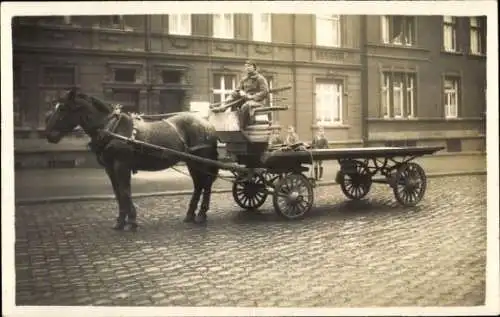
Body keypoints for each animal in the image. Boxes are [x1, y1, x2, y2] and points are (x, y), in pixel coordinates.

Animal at [44, 86, 220, 230]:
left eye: (63, 108)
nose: (48, 134)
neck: (111, 128)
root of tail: (207, 124)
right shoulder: (110, 168)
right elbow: (118, 193)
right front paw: (121, 221)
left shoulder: (122, 165)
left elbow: (125, 191)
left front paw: (131, 221)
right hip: (192, 162)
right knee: (198, 185)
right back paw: (190, 214)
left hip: (201, 160)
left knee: (206, 184)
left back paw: (201, 214)